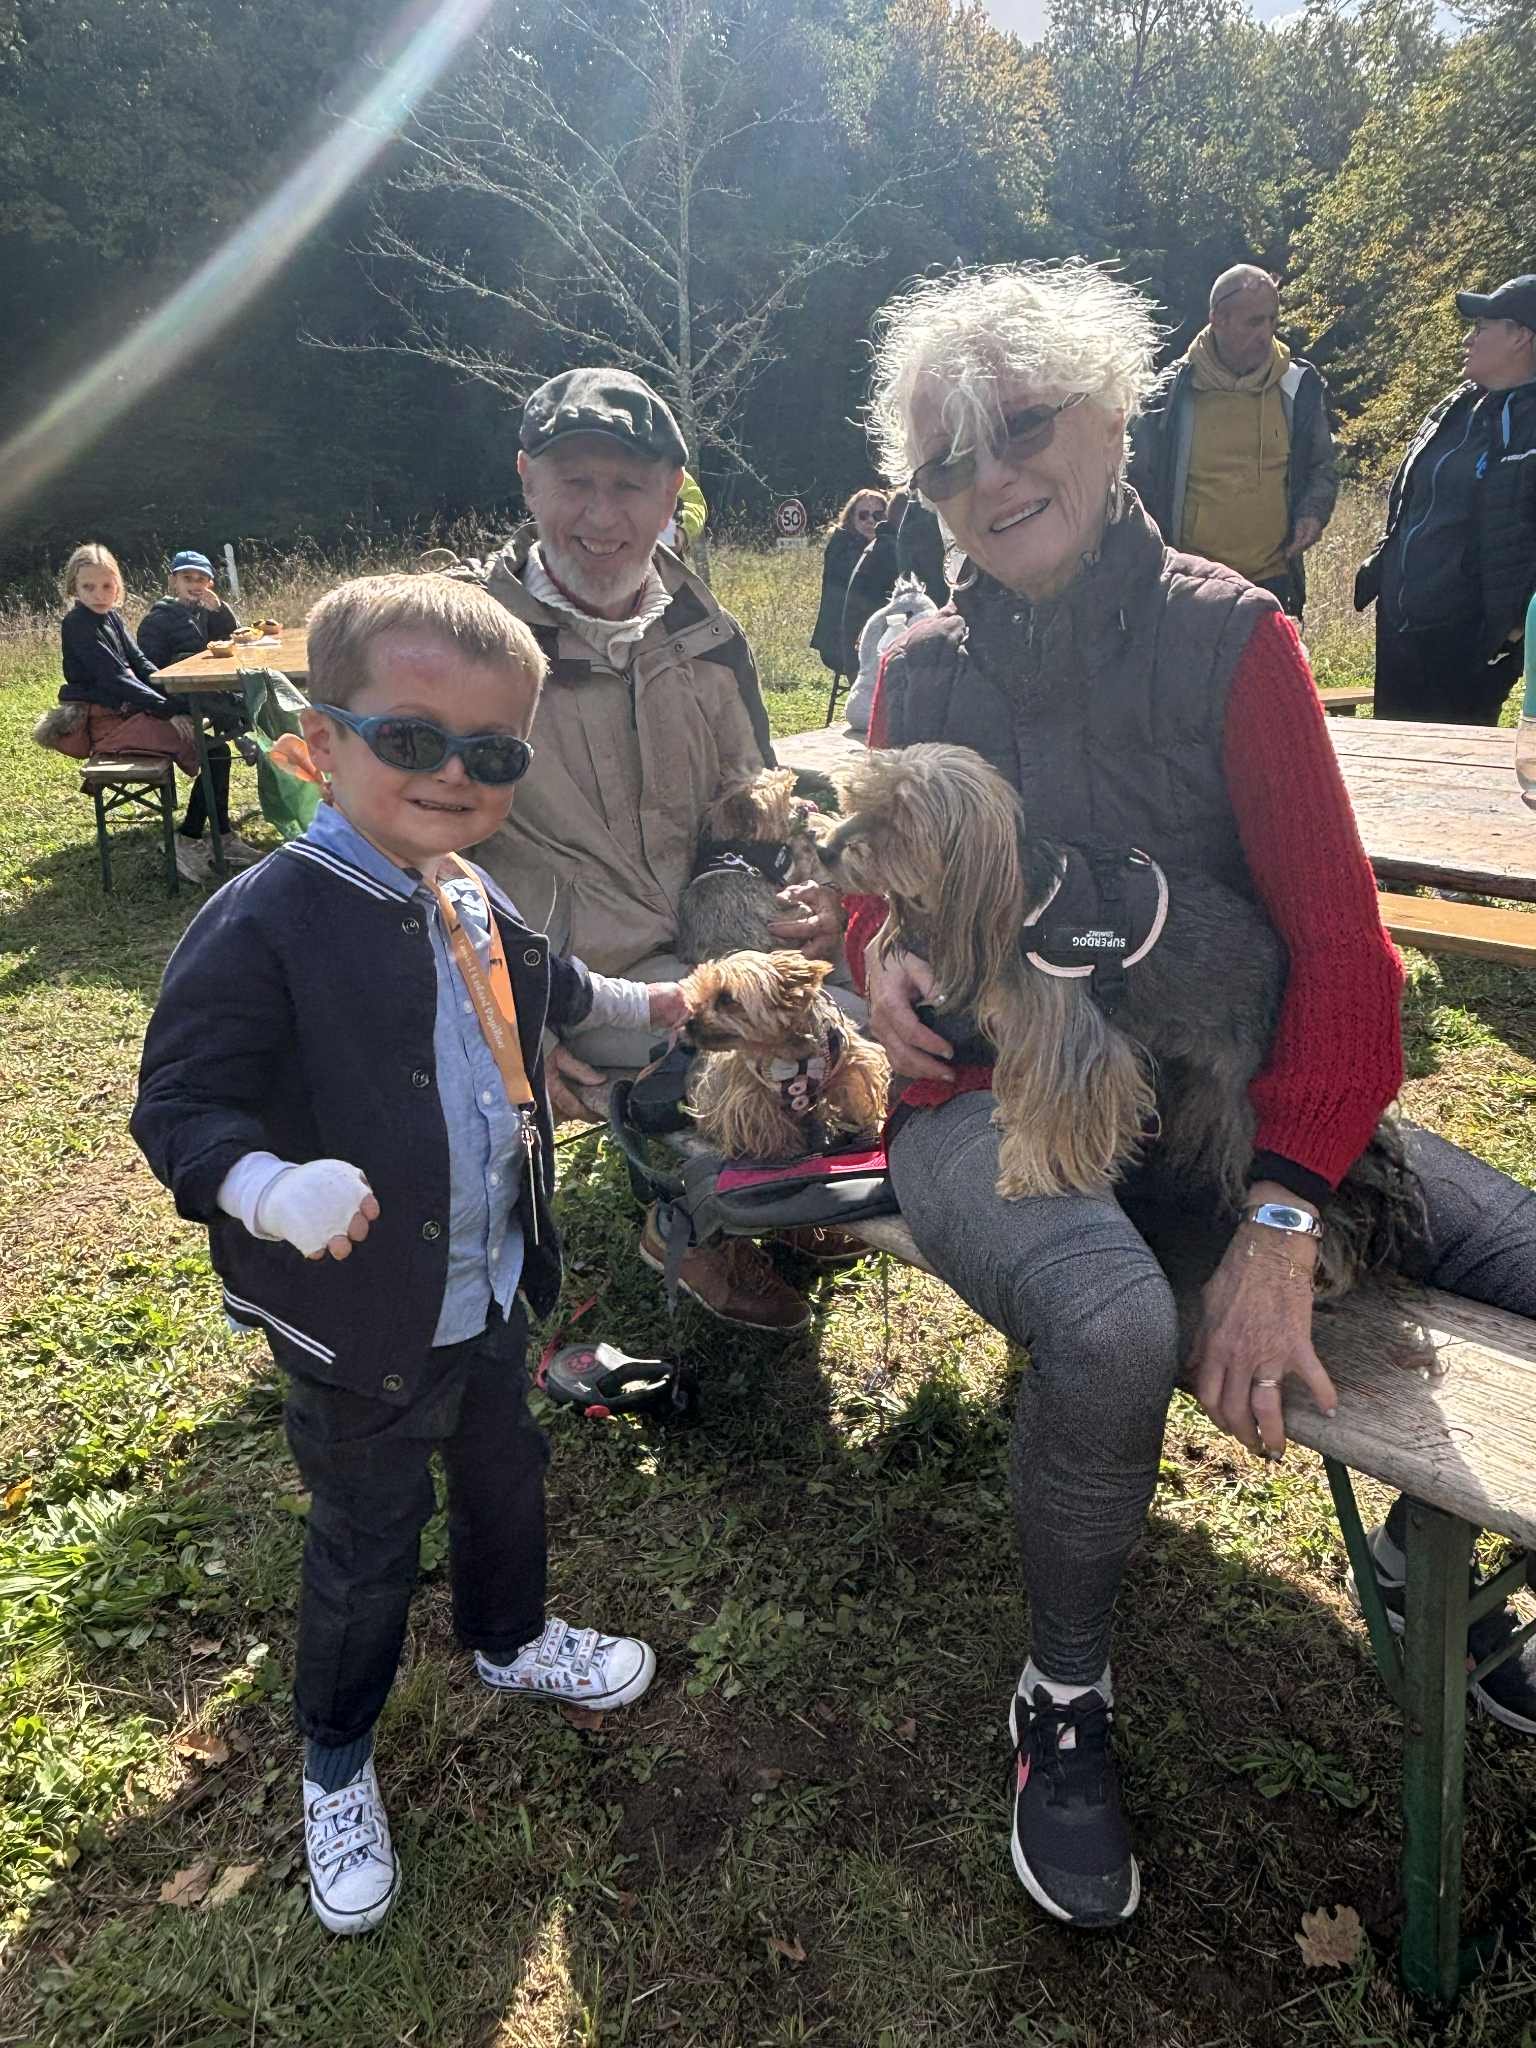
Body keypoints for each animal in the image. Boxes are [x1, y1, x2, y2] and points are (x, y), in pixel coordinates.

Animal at [680, 950, 890, 1161]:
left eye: (725, 998)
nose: (688, 1021)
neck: (787, 1045)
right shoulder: (751, 1090)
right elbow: (765, 1119)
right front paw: (788, 1148)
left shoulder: (850, 1059)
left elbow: (856, 1086)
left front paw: (867, 1127)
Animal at [824, 742, 1420, 1298]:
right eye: (854, 801)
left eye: (897, 818)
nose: (827, 849)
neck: (1022, 899)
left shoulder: (1077, 1040)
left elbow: (1058, 1112)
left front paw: (1030, 1173)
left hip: (1244, 1097)